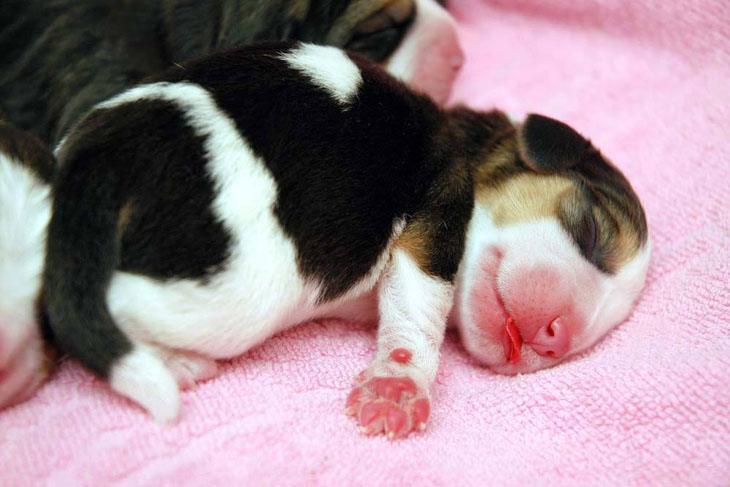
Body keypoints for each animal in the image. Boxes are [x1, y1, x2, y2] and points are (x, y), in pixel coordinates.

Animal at [45, 43, 648, 438]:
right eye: (592, 231)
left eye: (596, 334)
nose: (557, 337)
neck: (469, 143)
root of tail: (97, 165)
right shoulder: (437, 216)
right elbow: (417, 310)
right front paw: (398, 387)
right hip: (237, 291)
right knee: (93, 307)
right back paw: (173, 363)